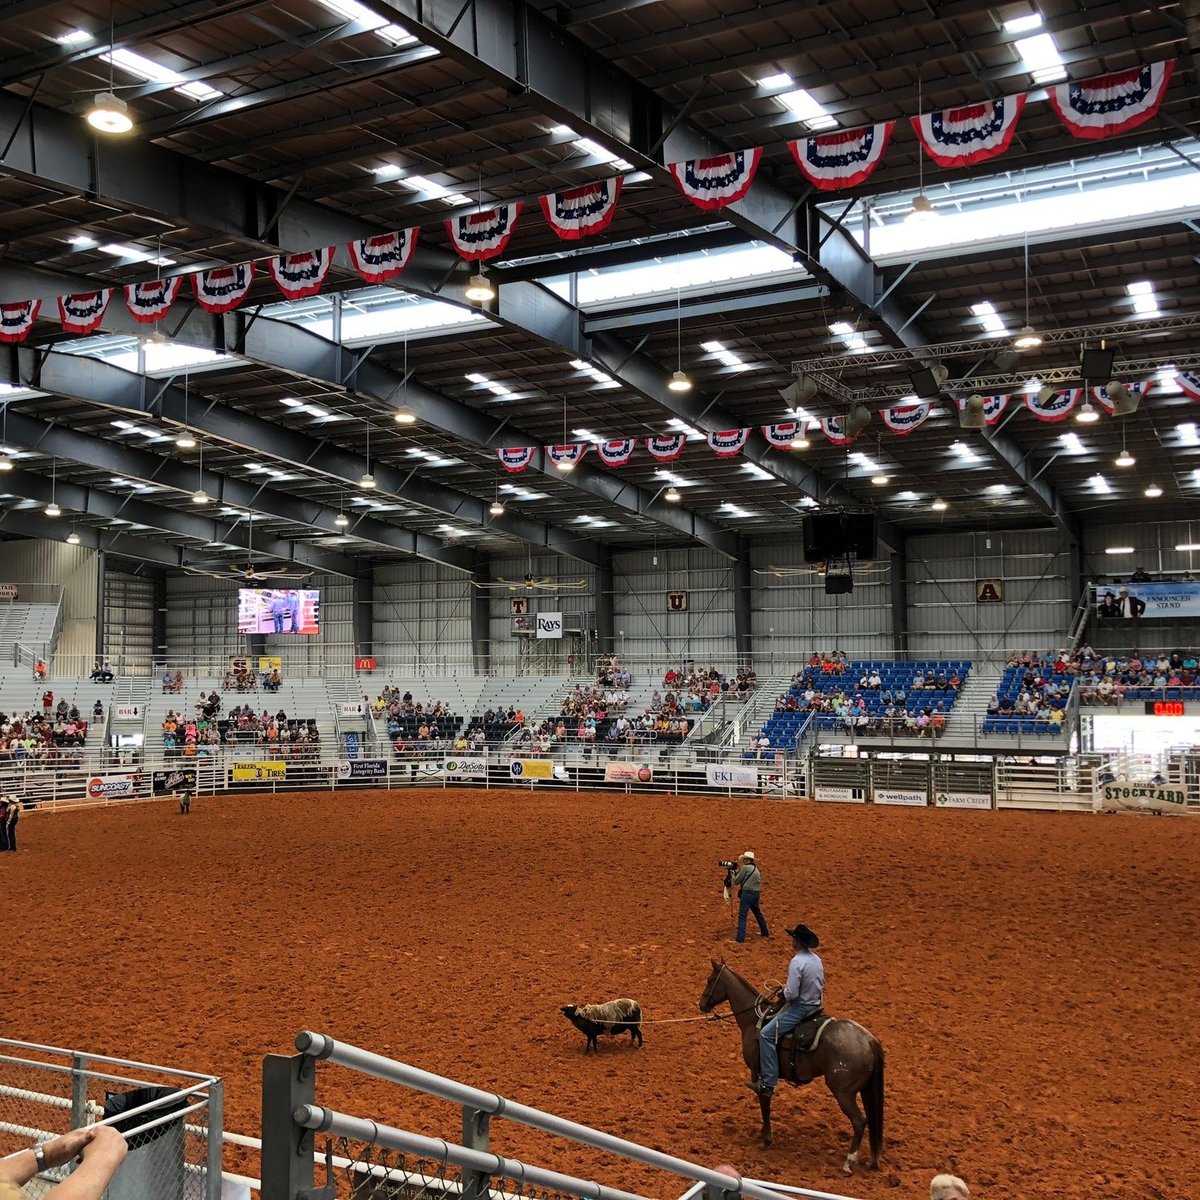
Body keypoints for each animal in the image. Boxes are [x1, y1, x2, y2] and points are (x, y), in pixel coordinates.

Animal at [700, 960, 888, 1176]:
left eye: (710, 979)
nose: (701, 1004)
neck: (753, 1020)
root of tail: (868, 1040)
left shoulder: (758, 1072)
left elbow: (764, 1101)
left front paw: (766, 1139)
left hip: (844, 1093)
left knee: (859, 1121)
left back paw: (849, 1162)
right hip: (865, 1090)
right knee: (871, 1121)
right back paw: (872, 1161)